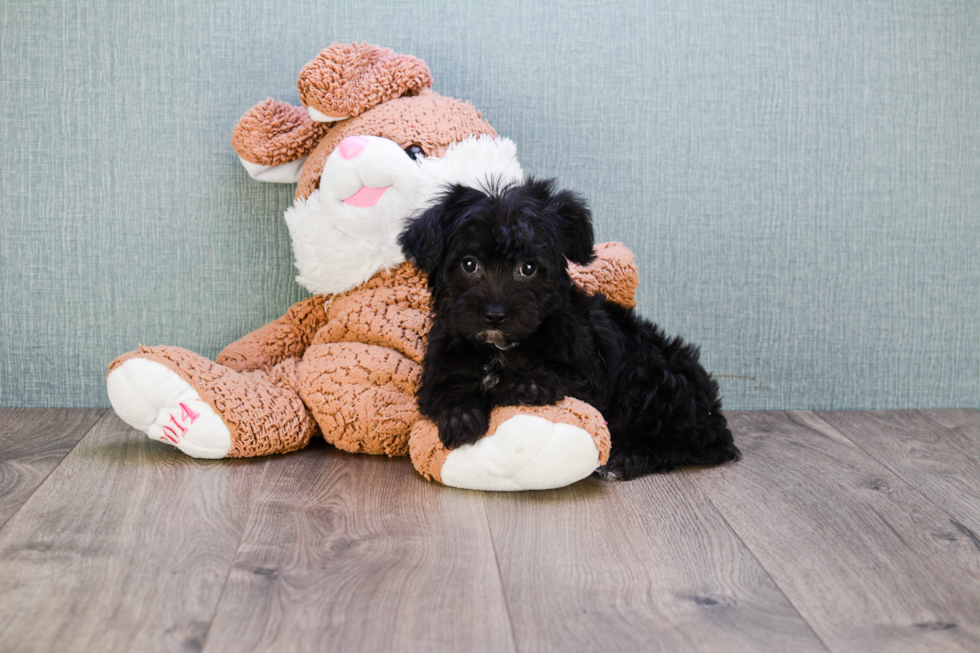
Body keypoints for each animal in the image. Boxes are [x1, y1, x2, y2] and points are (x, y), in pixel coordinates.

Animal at [394, 178, 740, 478]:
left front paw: (522, 385)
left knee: (680, 443)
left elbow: (556, 376)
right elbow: (447, 388)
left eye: (528, 268)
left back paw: (624, 459)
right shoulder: (441, 362)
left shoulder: (587, 372)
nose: (495, 314)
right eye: (469, 264)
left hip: (653, 376)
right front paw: (461, 417)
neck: (498, 347)